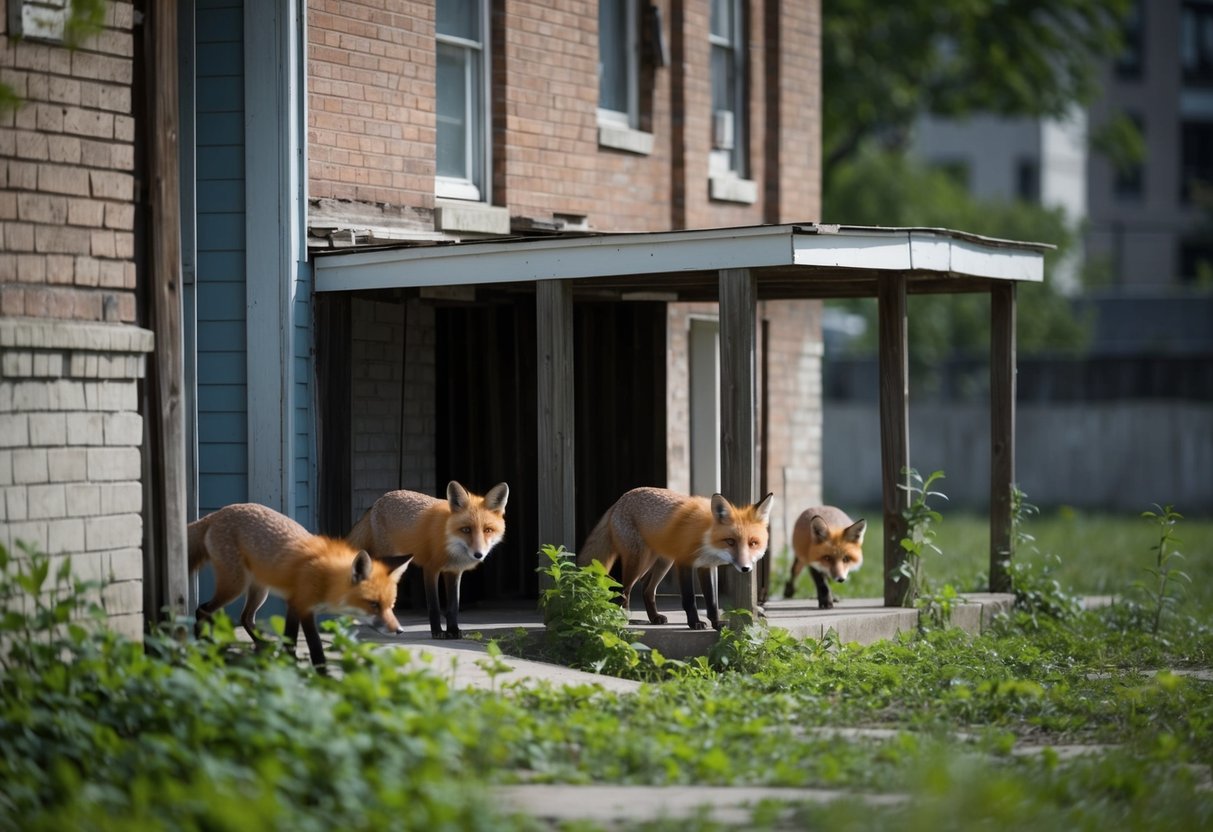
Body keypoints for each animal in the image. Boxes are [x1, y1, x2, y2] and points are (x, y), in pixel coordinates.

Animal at [188, 503, 411, 669]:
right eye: (373, 604)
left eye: (391, 606)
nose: (399, 630)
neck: (326, 579)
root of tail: (217, 513)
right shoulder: (303, 607)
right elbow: (315, 648)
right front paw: (321, 675)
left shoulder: (294, 604)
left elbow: (290, 640)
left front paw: (290, 663)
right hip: (235, 586)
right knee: (202, 610)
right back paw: (202, 644)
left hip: (260, 590)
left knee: (245, 618)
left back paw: (262, 645)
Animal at [346, 480, 509, 640]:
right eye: (466, 529)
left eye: (488, 530)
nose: (478, 554)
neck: (448, 542)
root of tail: (379, 500)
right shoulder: (431, 569)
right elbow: (434, 606)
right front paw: (437, 632)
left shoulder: (454, 571)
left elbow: (453, 606)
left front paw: (453, 630)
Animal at [577, 487, 775, 631]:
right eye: (731, 541)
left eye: (753, 543)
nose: (746, 568)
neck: (705, 537)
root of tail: (621, 499)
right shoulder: (684, 563)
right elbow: (689, 599)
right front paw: (694, 623)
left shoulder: (707, 566)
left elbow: (712, 600)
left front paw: (716, 623)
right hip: (639, 561)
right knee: (624, 590)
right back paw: (625, 618)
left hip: (662, 562)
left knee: (647, 589)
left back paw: (654, 617)